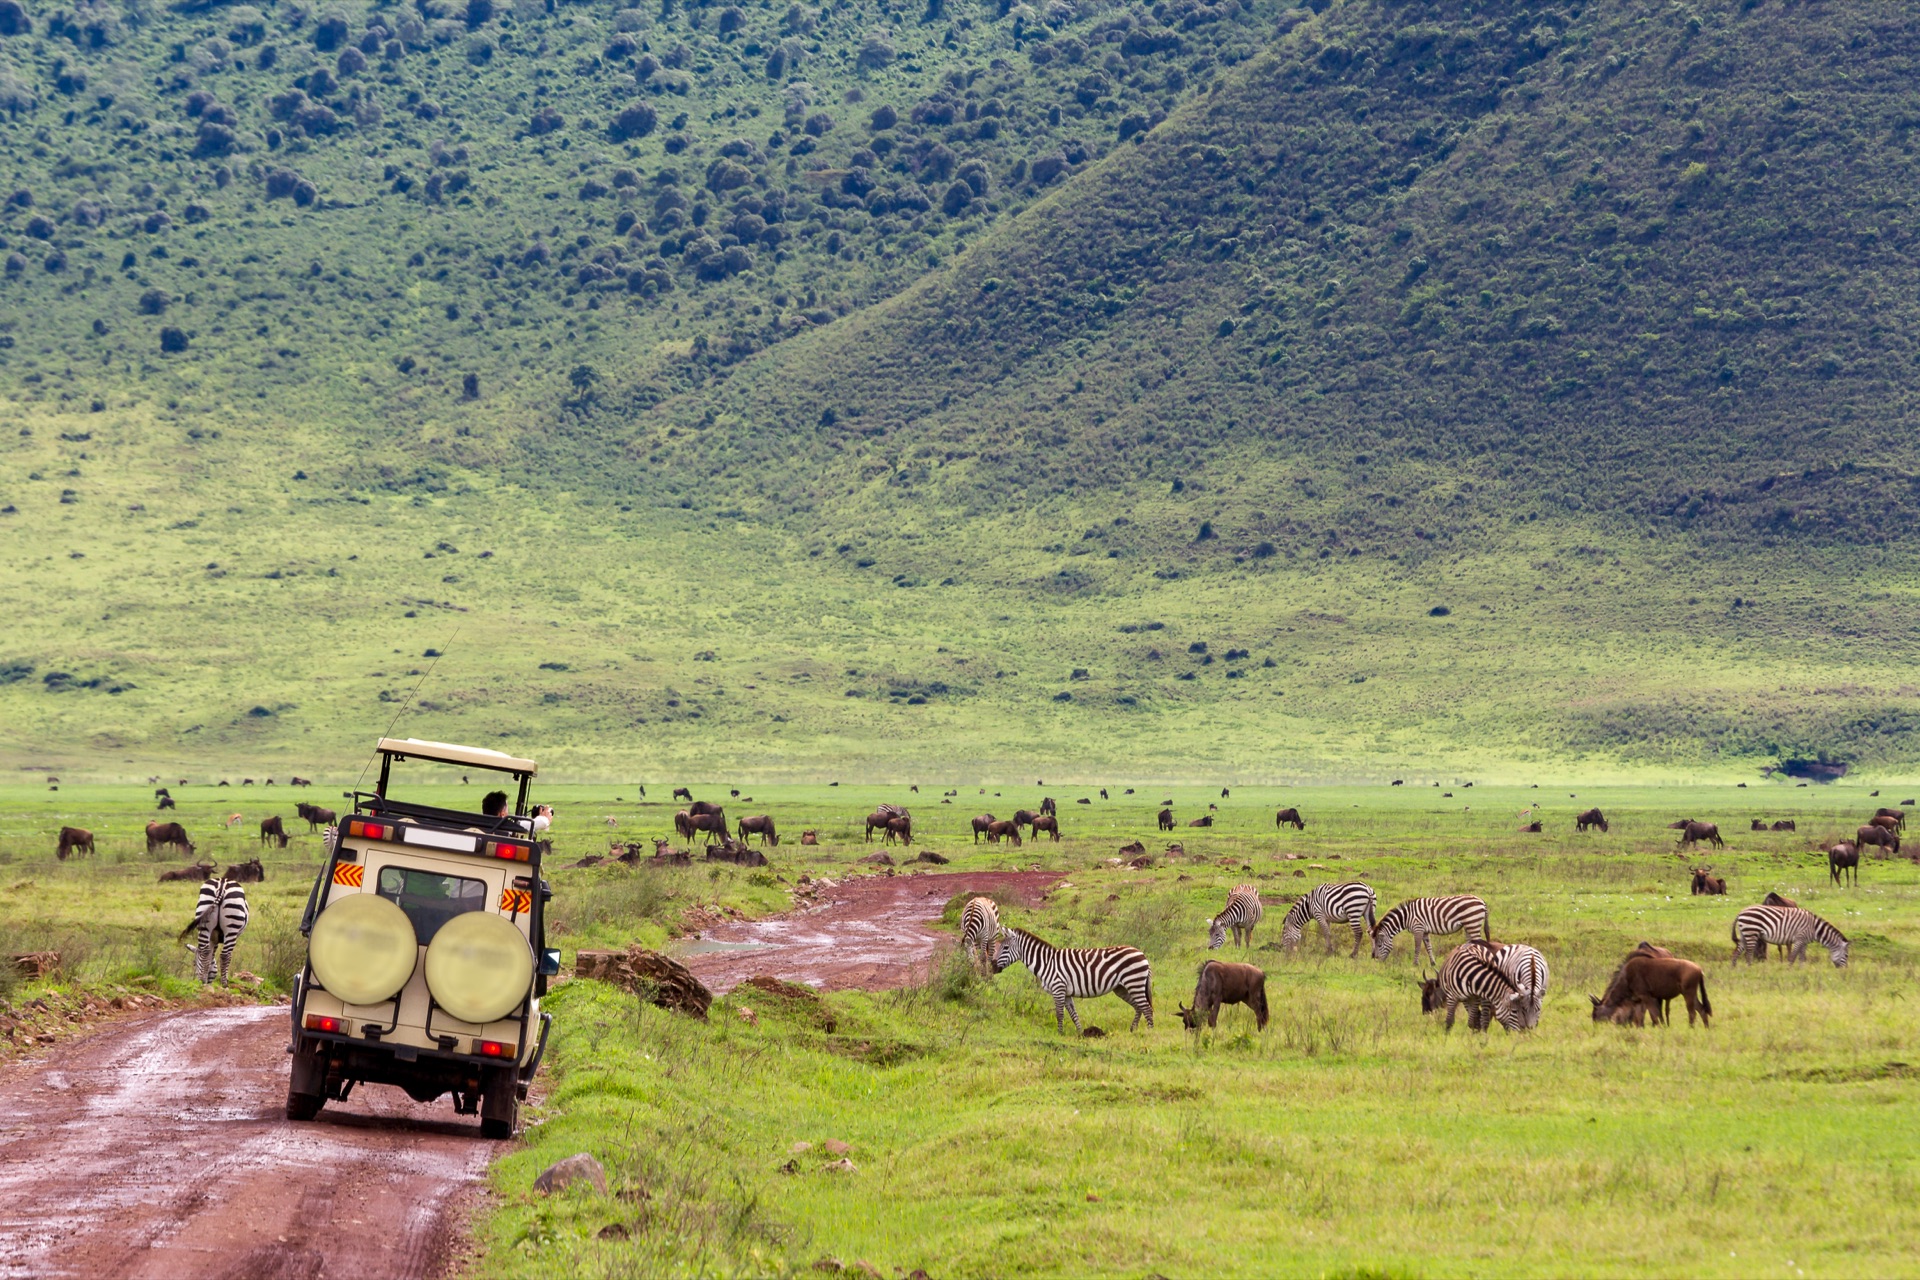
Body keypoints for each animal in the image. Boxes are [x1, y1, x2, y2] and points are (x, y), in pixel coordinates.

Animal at [992, 926, 1154, 1033]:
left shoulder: (1058, 988)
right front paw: (1081, 1033)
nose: (992, 967)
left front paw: (1060, 1033)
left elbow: (1060, 1013)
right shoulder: (1066, 992)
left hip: (1134, 982)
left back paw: (1149, 1032)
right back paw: (1133, 1029)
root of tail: (1142, 954)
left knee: (1146, 1008)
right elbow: (1073, 1014)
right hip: (1121, 988)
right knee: (1138, 1006)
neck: (1047, 962)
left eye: (1005, 948)